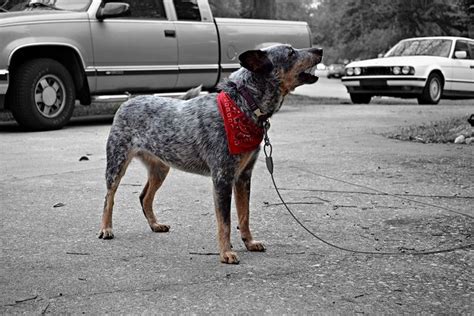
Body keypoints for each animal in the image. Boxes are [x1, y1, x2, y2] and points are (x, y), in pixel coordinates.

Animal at [98, 43, 324, 262]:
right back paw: (106, 228)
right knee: (109, 197)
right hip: (117, 163)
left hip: (160, 169)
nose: (320, 49)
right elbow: (225, 221)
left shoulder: (243, 176)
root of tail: (128, 101)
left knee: (145, 196)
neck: (242, 104)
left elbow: (244, 215)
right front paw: (226, 253)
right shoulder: (223, 178)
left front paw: (249, 242)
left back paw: (155, 224)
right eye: (291, 52)